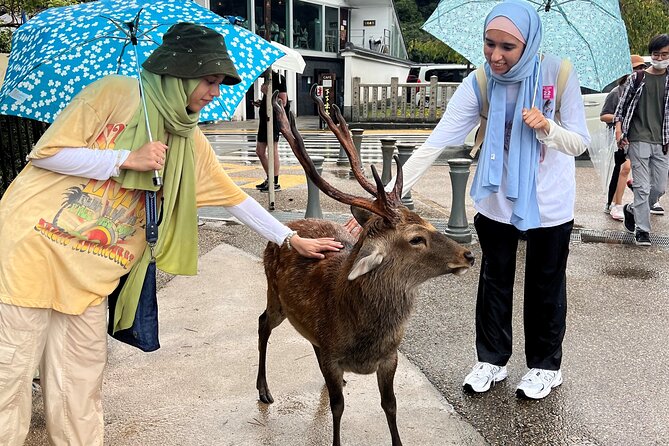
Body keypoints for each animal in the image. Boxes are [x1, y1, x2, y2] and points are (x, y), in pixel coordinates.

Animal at [256, 87, 474, 446]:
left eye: (428, 222)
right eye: (416, 238)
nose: (468, 255)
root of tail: (282, 233)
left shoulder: (390, 357)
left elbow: (391, 406)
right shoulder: (333, 356)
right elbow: (337, 408)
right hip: (275, 296)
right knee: (262, 323)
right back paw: (263, 390)